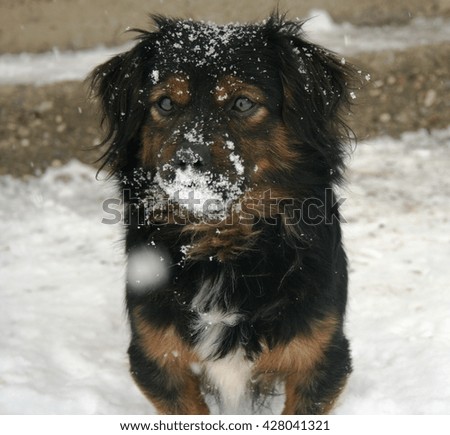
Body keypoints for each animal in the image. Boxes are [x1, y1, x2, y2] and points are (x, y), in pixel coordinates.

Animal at [89, 13, 356, 416]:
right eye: (165, 103)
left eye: (242, 103)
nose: (186, 160)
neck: (221, 243)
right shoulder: (157, 357)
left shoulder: (320, 355)